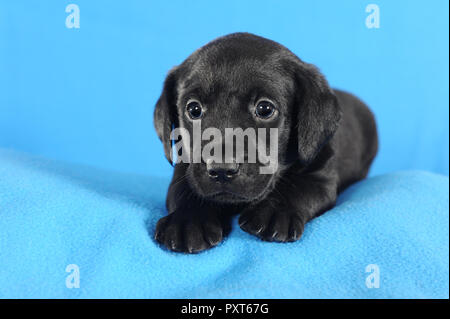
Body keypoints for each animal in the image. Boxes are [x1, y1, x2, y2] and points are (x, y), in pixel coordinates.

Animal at [153, 31, 378, 252]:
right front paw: (187, 221)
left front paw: (274, 213)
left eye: (264, 109)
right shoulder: (184, 169)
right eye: (194, 109)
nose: (222, 169)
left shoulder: (320, 175)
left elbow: (298, 188)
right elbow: (184, 190)